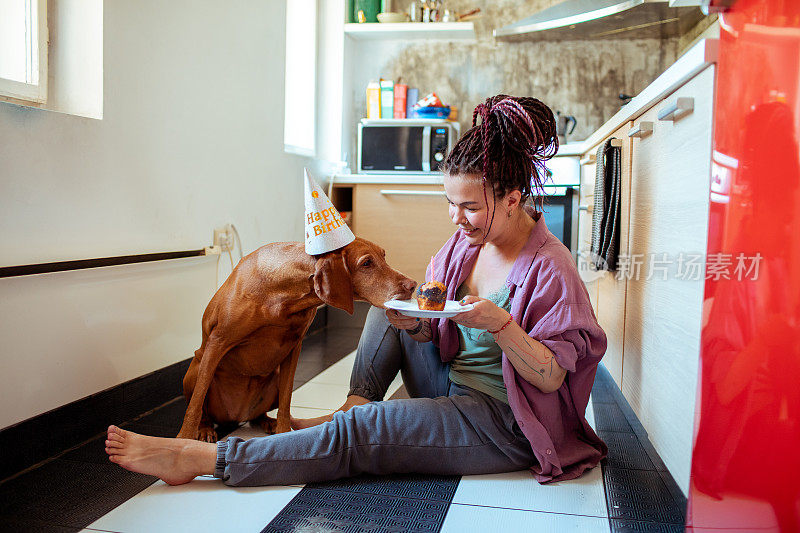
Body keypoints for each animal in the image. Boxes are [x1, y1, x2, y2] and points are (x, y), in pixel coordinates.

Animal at [178, 237, 416, 440]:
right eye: (366, 263)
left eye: (384, 256)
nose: (412, 284)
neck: (283, 294)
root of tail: (236, 416)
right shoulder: (218, 342)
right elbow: (196, 402)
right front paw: (184, 437)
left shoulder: (294, 348)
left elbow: (286, 401)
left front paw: (283, 432)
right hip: (195, 368)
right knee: (201, 404)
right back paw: (204, 429)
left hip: (273, 377)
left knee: (258, 415)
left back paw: (268, 422)